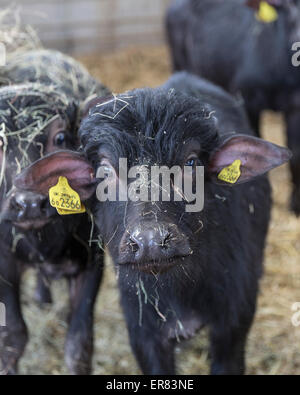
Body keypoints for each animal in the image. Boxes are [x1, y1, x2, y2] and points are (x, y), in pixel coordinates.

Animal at [168, 0, 300, 215]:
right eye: (288, 6)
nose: (297, 35)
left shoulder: (295, 104)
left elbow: (296, 154)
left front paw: (295, 203)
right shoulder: (247, 99)